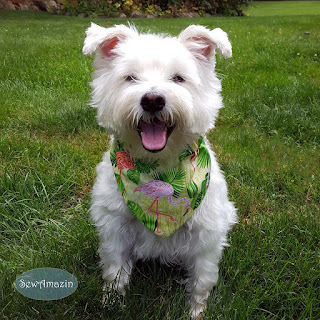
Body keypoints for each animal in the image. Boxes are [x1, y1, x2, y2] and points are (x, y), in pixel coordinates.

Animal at [83, 23, 238, 320]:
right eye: (130, 78)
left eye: (178, 78)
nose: (153, 100)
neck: (158, 168)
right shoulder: (115, 228)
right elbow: (115, 271)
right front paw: (111, 305)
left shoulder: (206, 235)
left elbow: (201, 279)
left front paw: (195, 311)